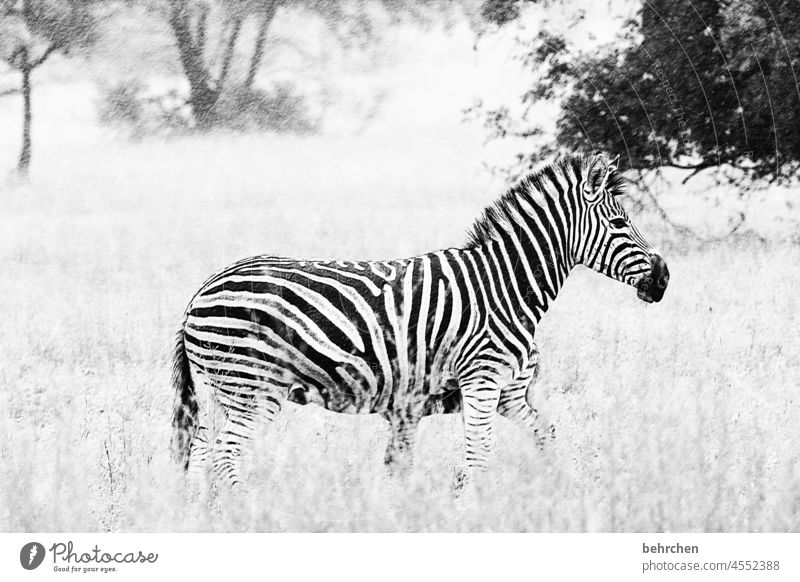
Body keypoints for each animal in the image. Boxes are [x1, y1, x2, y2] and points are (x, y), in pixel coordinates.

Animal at [170, 154, 668, 488]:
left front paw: (567, 491)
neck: (505, 286)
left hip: (222, 392)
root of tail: (201, 290)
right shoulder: (482, 380)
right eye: (620, 224)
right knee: (226, 456)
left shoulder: (508, 393)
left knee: (208, 454)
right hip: (252, 389)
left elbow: (546, 437)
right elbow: (478, 456)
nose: (663, 278)